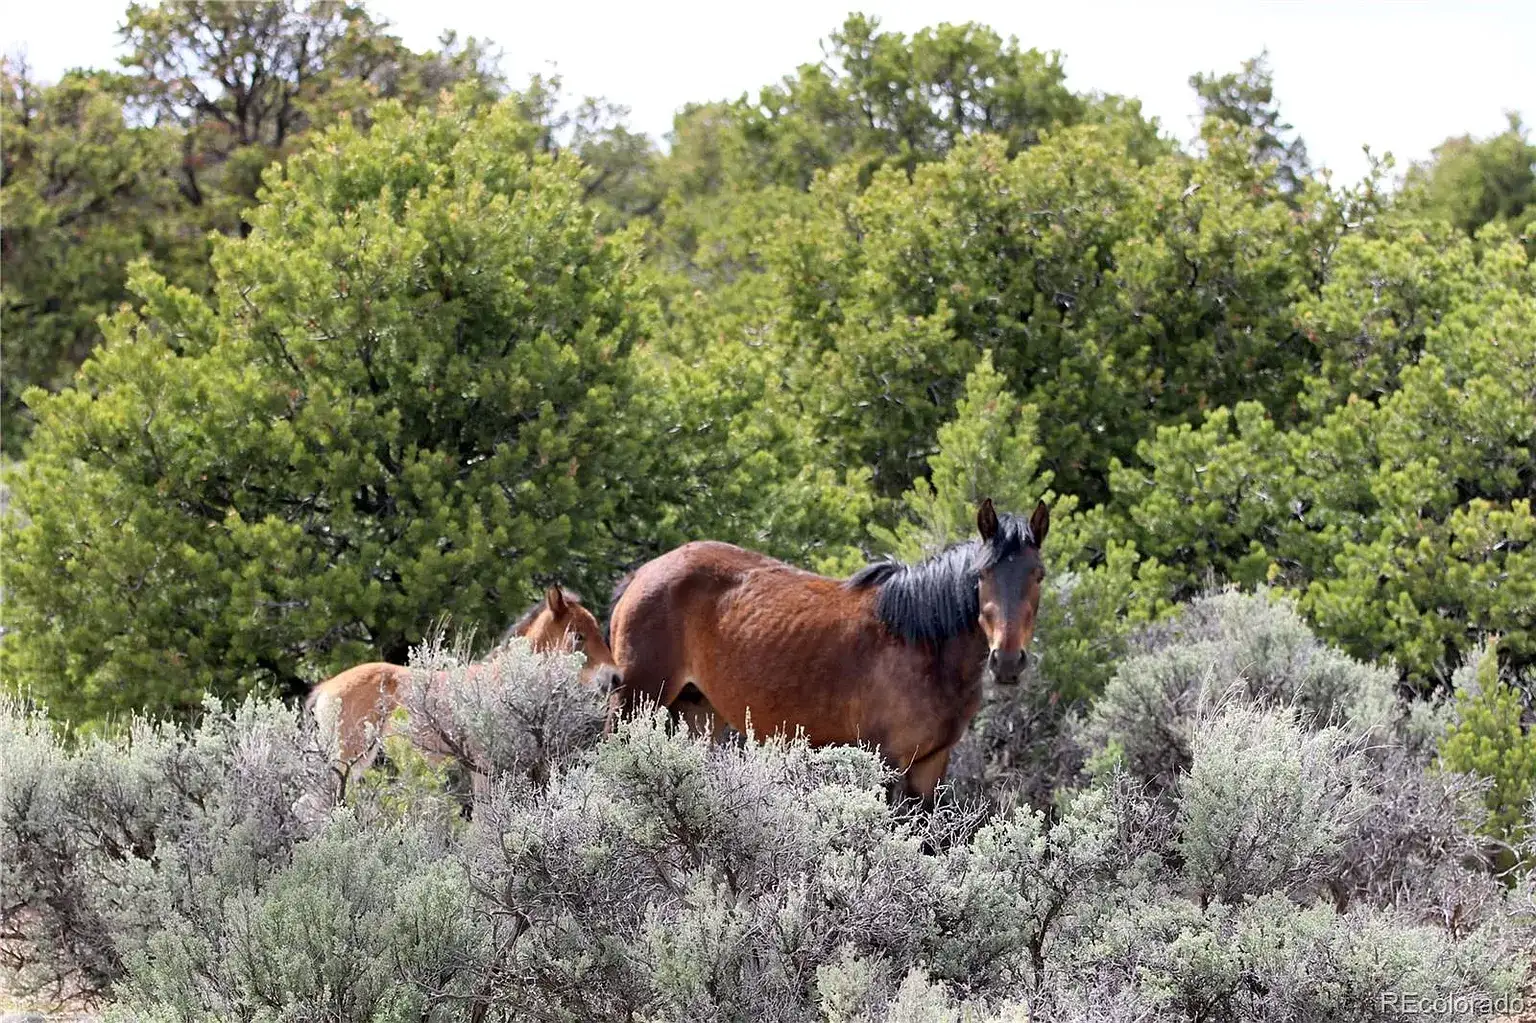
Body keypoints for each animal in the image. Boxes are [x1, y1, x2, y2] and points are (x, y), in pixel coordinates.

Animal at [608, 498, 1049, 802]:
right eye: (983, 574)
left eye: (1038, 574)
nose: (1008, 661)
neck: (923, 643)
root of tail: (642, 573)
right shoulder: (884, 760)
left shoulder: (930, 765)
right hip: (635, 700)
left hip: (696, 711)